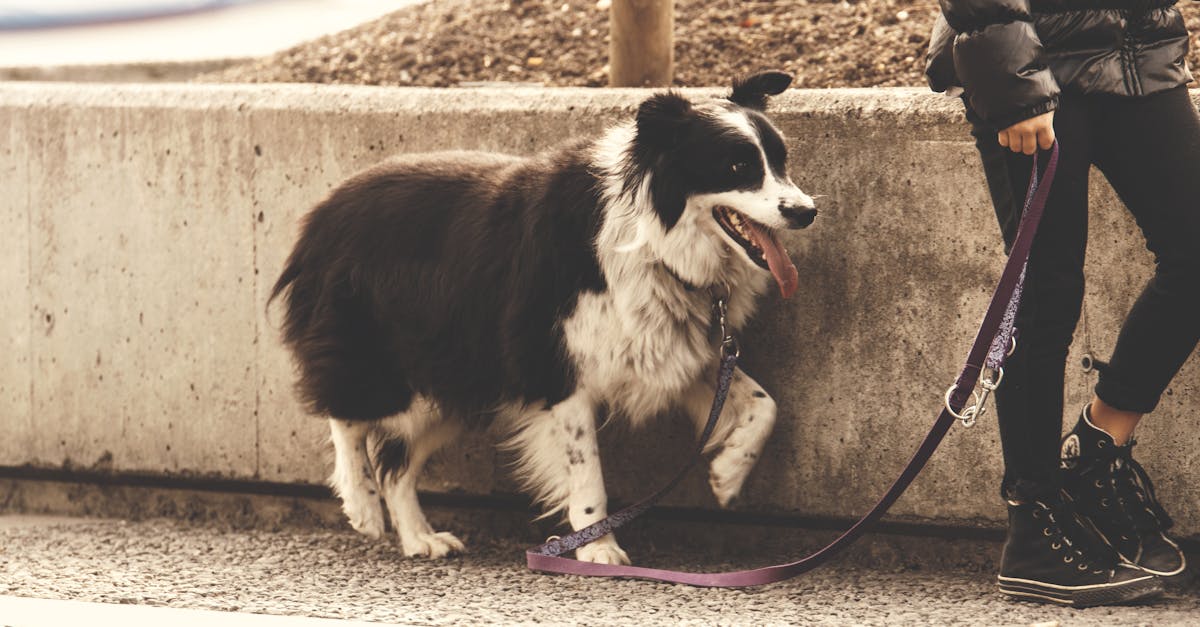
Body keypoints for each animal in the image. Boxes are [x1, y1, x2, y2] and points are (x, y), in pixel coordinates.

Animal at [270, 72, 816, 562]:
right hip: (382, 350)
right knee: (346, 414)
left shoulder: (672, 347)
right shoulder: (557, 366)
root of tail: (320, 215)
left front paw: (727, 475)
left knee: (396, 464)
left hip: (458, 375)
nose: (806, 211)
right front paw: (599, 550)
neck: (653, 239)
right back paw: (362, 505)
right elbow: (586, 468)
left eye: (781, 161)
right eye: (737, 166)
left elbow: (765, 404)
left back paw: (419, 538)